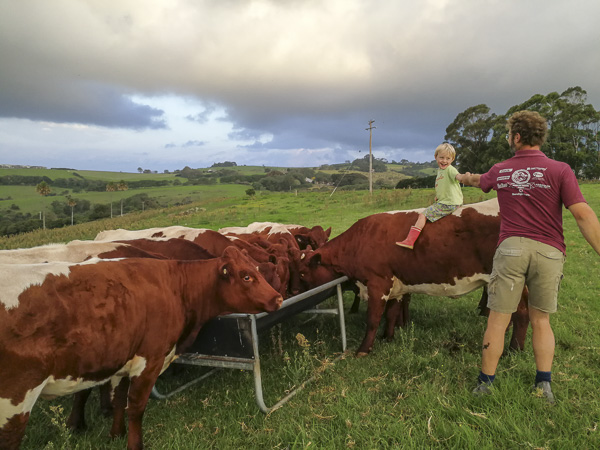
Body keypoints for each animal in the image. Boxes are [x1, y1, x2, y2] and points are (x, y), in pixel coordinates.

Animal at [0, 246, 284, 450]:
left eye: (257, 270)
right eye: (247, 276)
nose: (278, 298)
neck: (175, 286)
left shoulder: (126, 357)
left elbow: (119, 400)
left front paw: (116, 433)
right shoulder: (150, 359)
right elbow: (135, 407)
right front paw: (134, 444)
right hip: (15, 401)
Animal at [298, 199, 528, 356]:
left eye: (302, 273)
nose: (296, 294)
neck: (359, 241)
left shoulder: (377, 283)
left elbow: (373, 319)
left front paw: (364, 349)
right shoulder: (396, 285)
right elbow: (391, 314)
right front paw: (387, 337)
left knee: (521, 314)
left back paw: (514, 349)